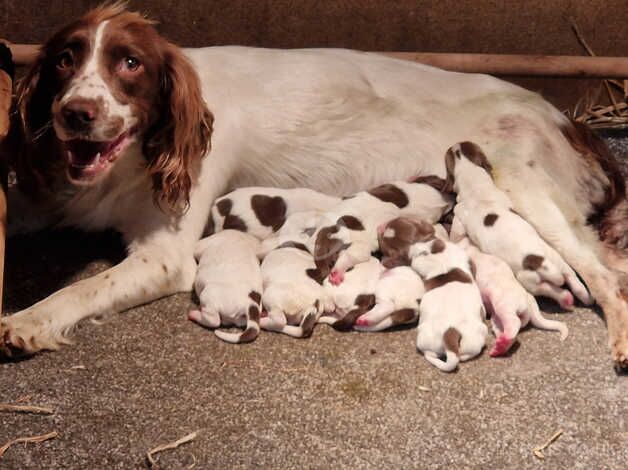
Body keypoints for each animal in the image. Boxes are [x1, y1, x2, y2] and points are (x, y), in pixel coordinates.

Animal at [446, 141, 592, 310]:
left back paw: (567, 298)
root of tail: (539, 261)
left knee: (551, 289)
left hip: (530, 281)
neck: (473, 181)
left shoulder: (459, 217)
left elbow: (455, 234)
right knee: (570, 278)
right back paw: (583, 297)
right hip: (556, 260)